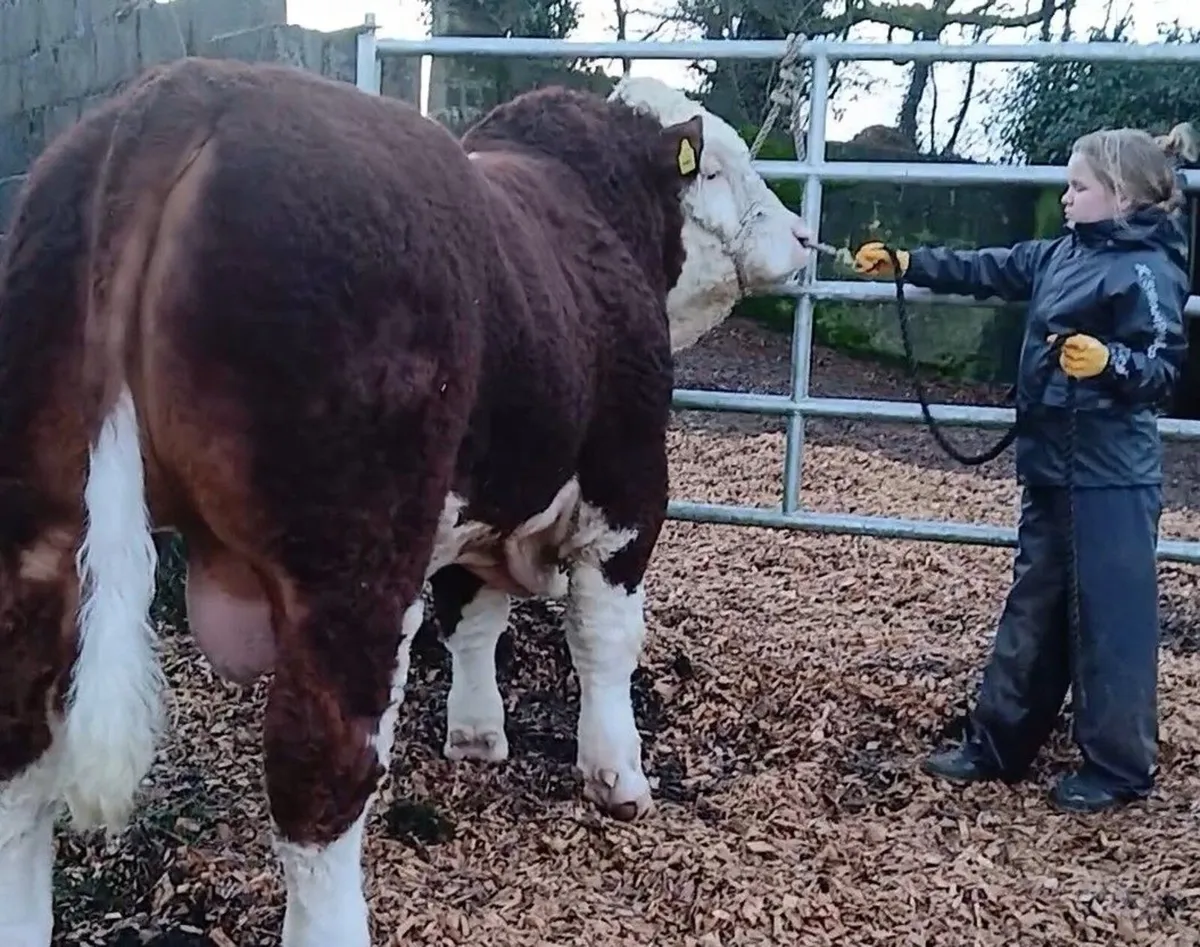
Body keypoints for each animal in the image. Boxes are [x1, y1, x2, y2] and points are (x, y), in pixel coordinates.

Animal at [0, 57, 814, 946]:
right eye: (726, 170)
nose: (804, 236)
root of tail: (187, 89)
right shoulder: (627, 489)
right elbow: (604, 639)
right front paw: (618, 776)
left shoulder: (480, 499)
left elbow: (472, 618)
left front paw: (477, 733)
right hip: (351, 565)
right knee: (321, 777)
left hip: (41, 534)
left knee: (19, 757)